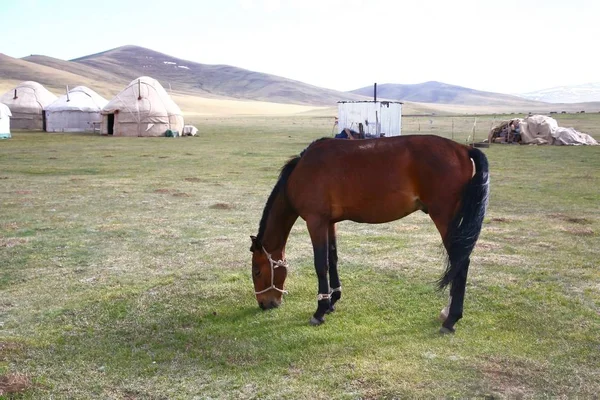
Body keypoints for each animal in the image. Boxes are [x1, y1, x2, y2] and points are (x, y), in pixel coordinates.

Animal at [248, 133, 488, 332]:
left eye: (257, 272)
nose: (264, 304)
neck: (301, 172)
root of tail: (463, 148)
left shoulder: (315, 222)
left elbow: (320, 264)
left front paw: (320, 310)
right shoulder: (329, 222)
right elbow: (333, 258)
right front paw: (333, 301)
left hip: (444, 219)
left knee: (461, 262)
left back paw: (451, 319)